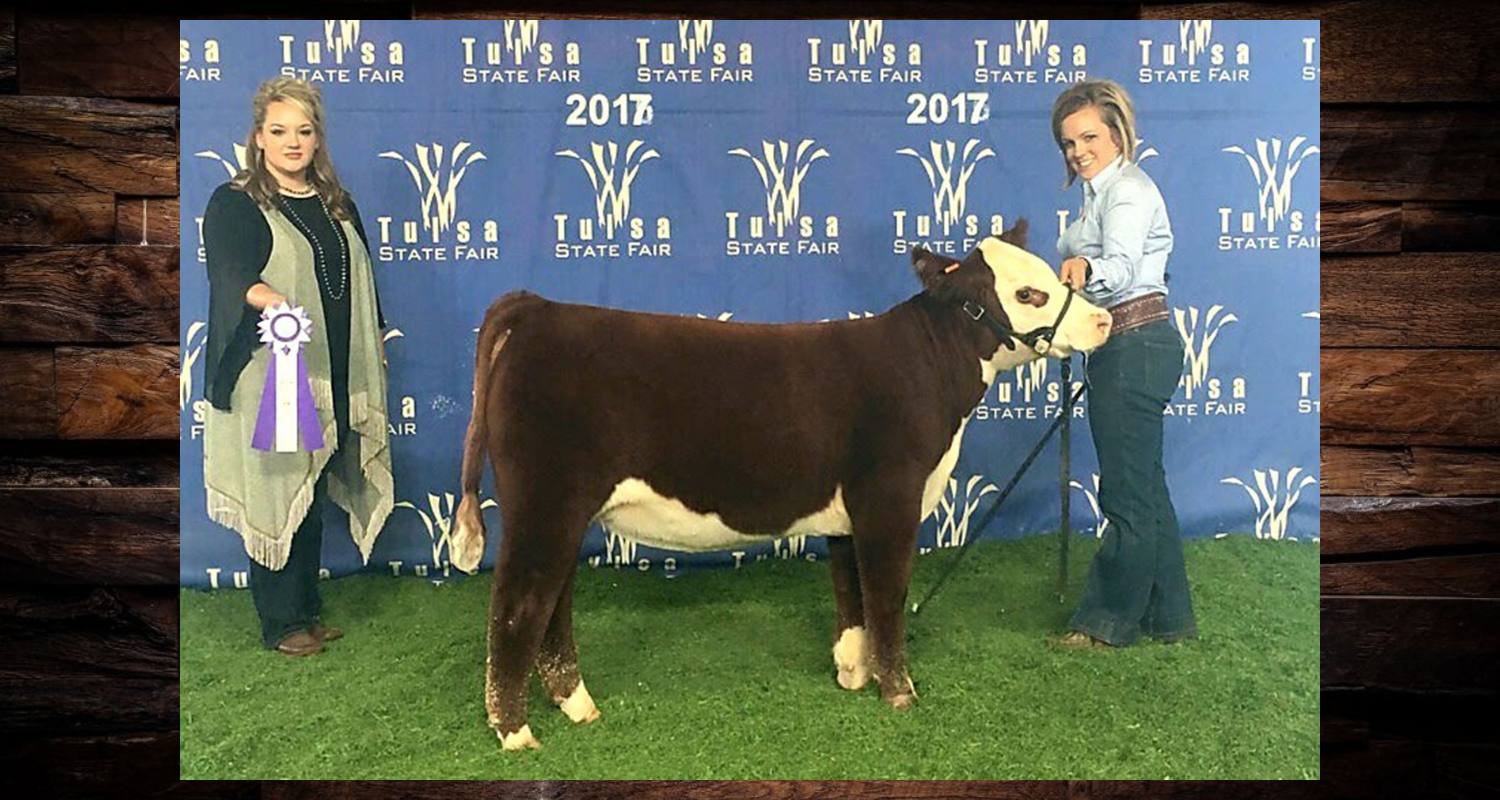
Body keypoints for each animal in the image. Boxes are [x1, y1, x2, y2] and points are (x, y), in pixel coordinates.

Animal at [451, 220, 1112, 750]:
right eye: (1027, 293)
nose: (1103, 318)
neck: (927, 370)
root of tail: (541, 309)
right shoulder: (890, 499)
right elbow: (887, 596)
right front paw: (899, 691)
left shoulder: (850, 511)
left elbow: (852, 594)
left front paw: (853, 673)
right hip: (545, 502)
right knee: (517, 604)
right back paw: (515, 732)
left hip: (561, 509)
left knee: (551, 602)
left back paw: (576, 704)